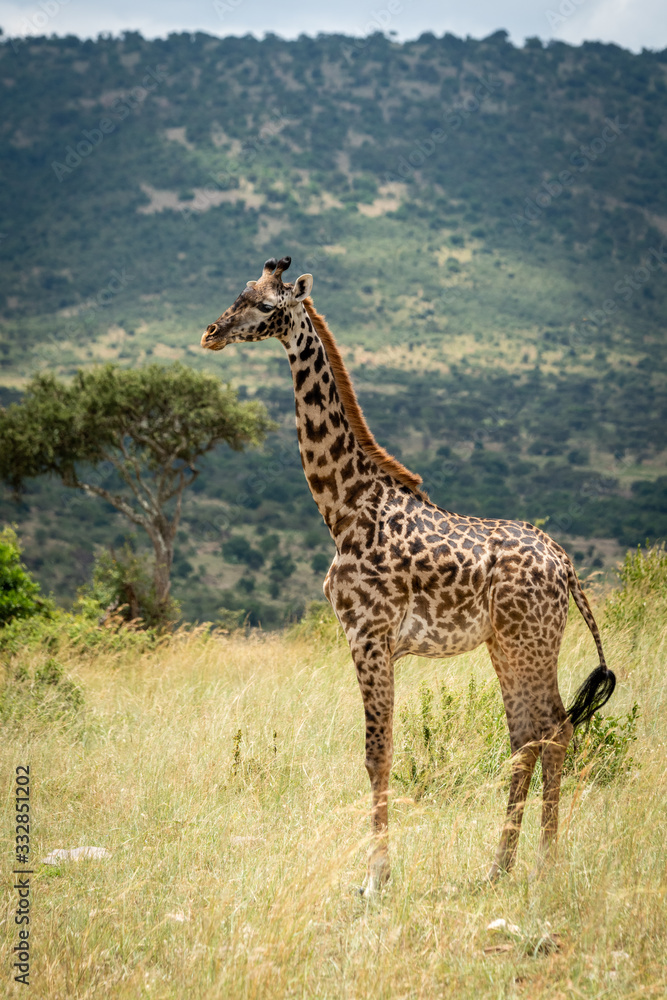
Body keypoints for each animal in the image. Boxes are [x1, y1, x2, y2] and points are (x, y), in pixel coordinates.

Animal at [201, 254, 620, 896]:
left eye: (268, 306)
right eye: (241, 292)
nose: (212, 333)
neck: (343, 507)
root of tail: (567, 566)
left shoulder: (368, 635)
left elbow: (377, 755)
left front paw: (375, 879)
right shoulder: (374, 641)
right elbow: (383, 753)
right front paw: (379, 873)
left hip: (529, 642)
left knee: (550, 731)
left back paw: (542, 865)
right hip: (509, 644)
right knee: (534, 734)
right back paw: (503, 868)